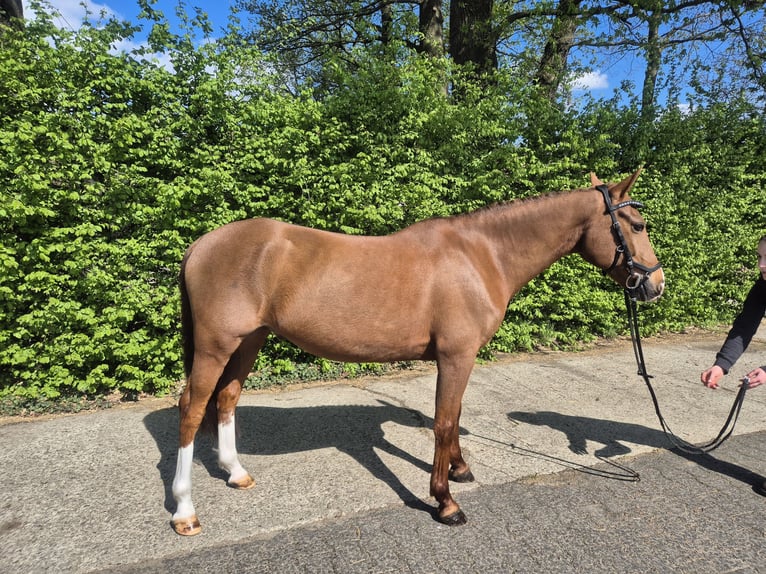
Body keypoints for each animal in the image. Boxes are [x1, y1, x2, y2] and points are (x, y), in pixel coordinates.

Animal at [170, 170, 665, 535]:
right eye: (638, 226)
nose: (656, 285)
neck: (481, 256)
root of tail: (200, 245)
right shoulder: (456, 356)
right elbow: (444, 422)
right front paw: (445, 501)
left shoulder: (460, 359)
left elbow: (455, 416)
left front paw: (461, 470)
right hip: (216, 346)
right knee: (192, 410)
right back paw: (185, 512)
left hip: (248, 341)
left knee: (227, 398)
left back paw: (236, 472)